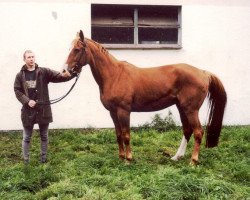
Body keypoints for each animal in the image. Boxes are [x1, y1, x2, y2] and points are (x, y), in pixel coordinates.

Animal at [64, 30, 227, 164]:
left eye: (77, 49)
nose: (65, 71)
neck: (114, 75)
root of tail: (203, 73)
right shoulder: (113, 112)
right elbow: (118, 134)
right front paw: (121, 157)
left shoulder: (123, 111)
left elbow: (126, 134)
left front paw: (129, 159)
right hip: (182, 107)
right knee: (187, 130)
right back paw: (176, 157)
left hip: (191, 109)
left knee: (198, 132)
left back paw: (193, 161)